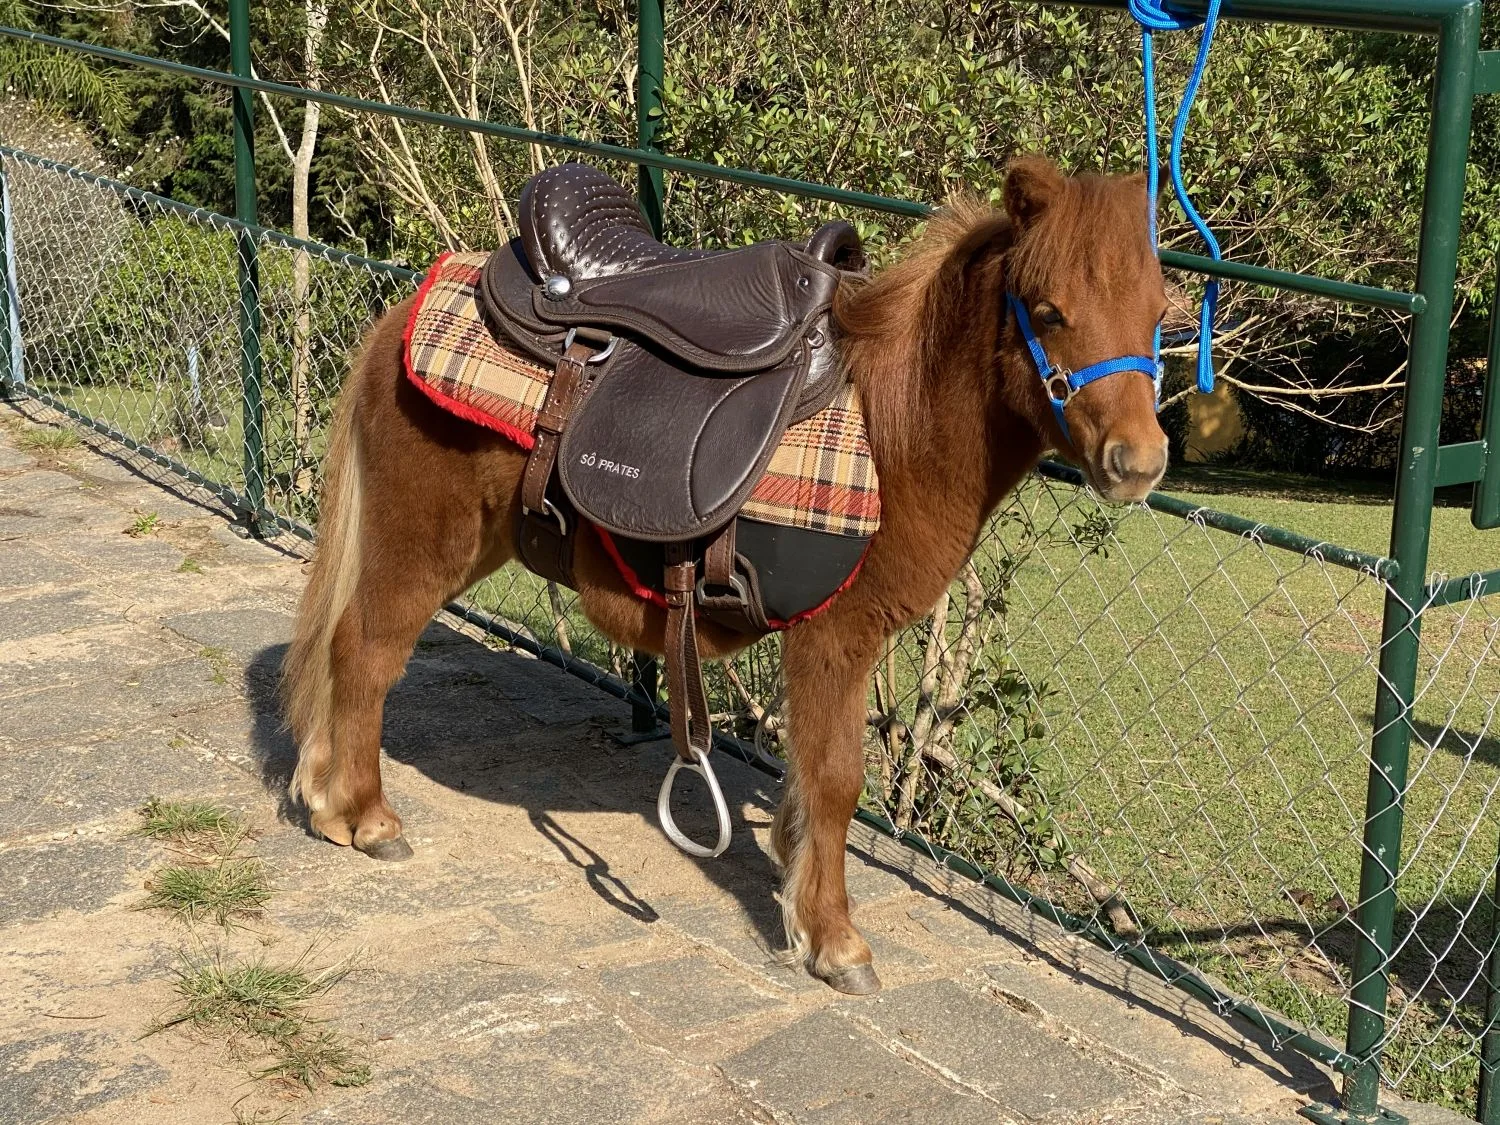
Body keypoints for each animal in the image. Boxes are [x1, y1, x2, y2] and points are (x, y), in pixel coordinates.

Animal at [281, 155, 1169, 995]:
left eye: (1161, 315)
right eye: (1048, 311)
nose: (1140, 462)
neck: (893, 427)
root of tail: (413, 307)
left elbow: (806, 782)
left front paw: (796, 886)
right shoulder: (835, 640)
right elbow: (837, 780)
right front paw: (834, 939)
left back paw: (326, 796)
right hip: (422, 544)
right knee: (361, 651)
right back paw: (363, 815)